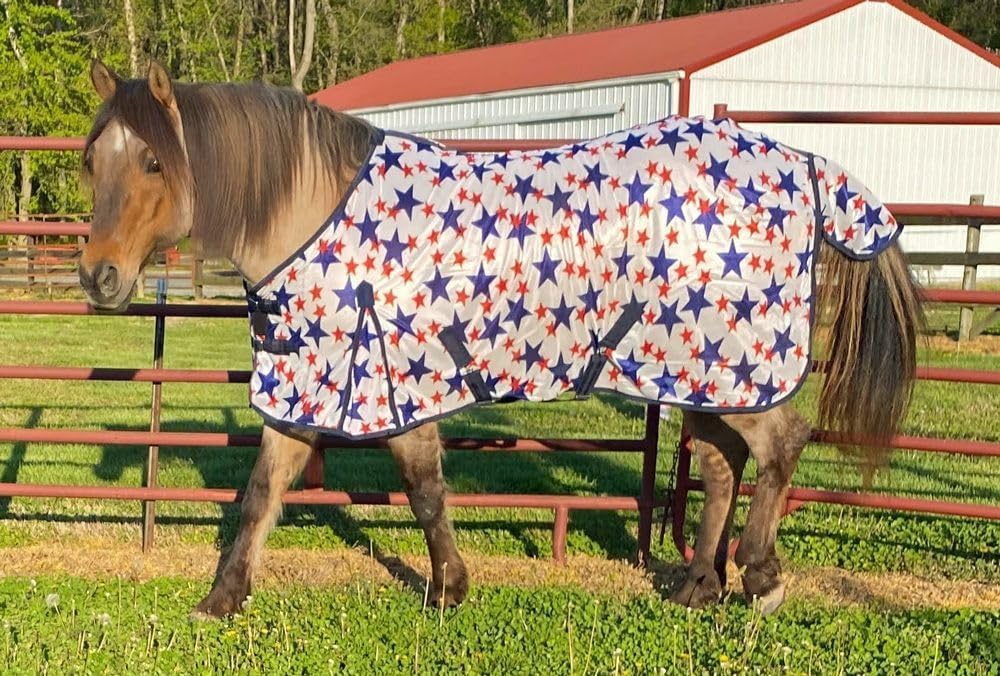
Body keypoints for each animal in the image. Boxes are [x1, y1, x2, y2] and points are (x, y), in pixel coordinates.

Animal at [78, 60, 922, 618]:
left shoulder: (394, 384)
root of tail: (801, 163)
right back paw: (698, 586)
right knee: (721, 466)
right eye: (91, 161)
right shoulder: (306, 385)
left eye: (153, 160)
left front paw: (447, 589)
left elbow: (422, 489)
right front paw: (222, 598)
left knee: (782, 443)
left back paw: (760, 576)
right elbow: (262, 494)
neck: (317, 217)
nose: (98, 276)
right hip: (696, 371)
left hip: (738, 365)